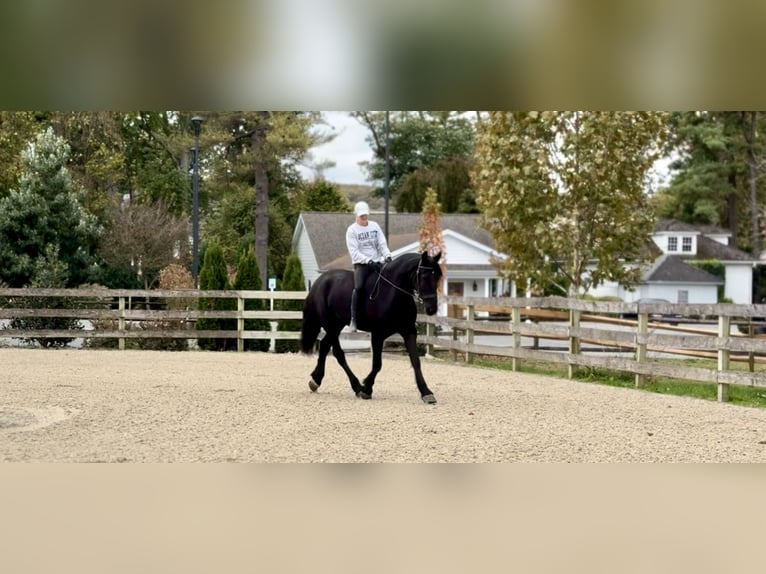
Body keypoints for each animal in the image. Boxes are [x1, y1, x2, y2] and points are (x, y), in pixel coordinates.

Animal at [300, 251, 443, 404]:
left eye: (437, 276)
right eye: (424, 276)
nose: (432, 309)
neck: (392, 293)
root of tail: (320, 281)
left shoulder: (409, 331)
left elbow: (416, 361)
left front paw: (426, 392)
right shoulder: (378, 335)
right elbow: (377, 364)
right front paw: (366, 388)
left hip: (337, 326)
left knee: (325, 345)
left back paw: (316, 380)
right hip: (331, 326)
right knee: (337, 352)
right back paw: (356, 386)